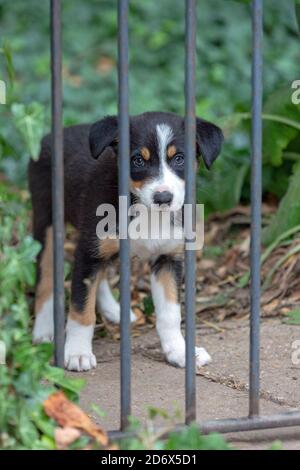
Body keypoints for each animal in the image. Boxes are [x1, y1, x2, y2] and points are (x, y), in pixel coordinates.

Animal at [29, 111, 223, 370]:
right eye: (138, 161)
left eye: (180, 158)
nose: (163, 197)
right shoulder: (89, 250)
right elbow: (81, 308)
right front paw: (78, 352)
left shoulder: (168, 258)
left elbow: (170, 314)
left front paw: (181, 351)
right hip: (47, 221)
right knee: (46, 276)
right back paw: (43, 329)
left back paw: (114, 310)